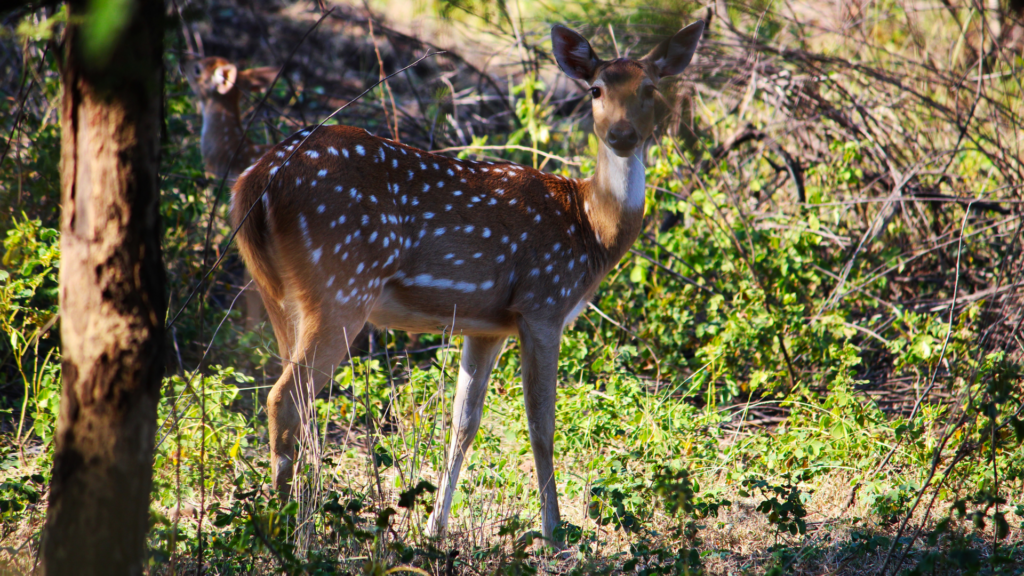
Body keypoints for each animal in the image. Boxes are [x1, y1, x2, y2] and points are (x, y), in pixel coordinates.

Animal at [230, 20, 704, 541]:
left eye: (649, 88)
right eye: (595, 89)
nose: (622, 134)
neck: (590, 228)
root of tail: (255, 180)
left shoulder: (486, 326)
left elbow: (464, 424)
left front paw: (435, 527)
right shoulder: (544, 303)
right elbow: (541, 424)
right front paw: (554, 534)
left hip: (279, 293)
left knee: (295, 398)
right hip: (342, 282)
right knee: (285, 398)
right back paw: (289, 531)